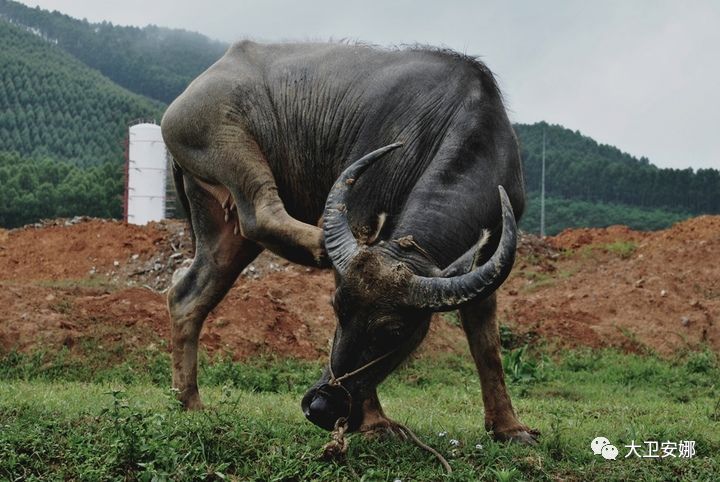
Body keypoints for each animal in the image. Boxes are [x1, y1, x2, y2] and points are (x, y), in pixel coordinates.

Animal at [162, 39, 536, 442]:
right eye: (337, 309)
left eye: (393, 331)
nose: (321, 407)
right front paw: (374, 421)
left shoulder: (488, 259)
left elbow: (488, 346)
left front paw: (509, 427)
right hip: (226, 138)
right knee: (260, 212)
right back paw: (321, 245)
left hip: (218, 223)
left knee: (189, 294)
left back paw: (188, 400)